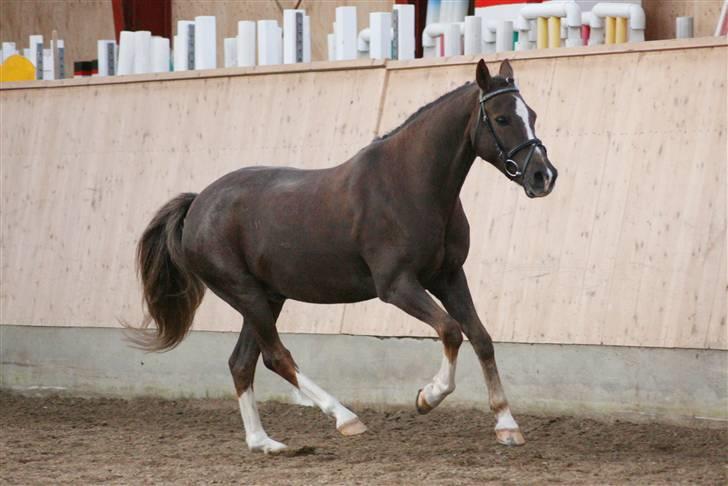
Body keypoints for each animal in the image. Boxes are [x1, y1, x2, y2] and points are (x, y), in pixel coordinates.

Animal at [132, 59, 556, 452]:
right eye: (501, 118)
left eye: (532, 115)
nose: (543, 176)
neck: (410, 184)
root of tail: (199, 204)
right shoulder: (397, 286)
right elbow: (451, 329)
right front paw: (427, 397)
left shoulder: (449, 276)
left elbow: (481, 337)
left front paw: (507, 425)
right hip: (245, 293)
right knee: (276, 355)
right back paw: (345, 418)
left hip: (267, 297)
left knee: (243, 362)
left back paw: (263, 442)